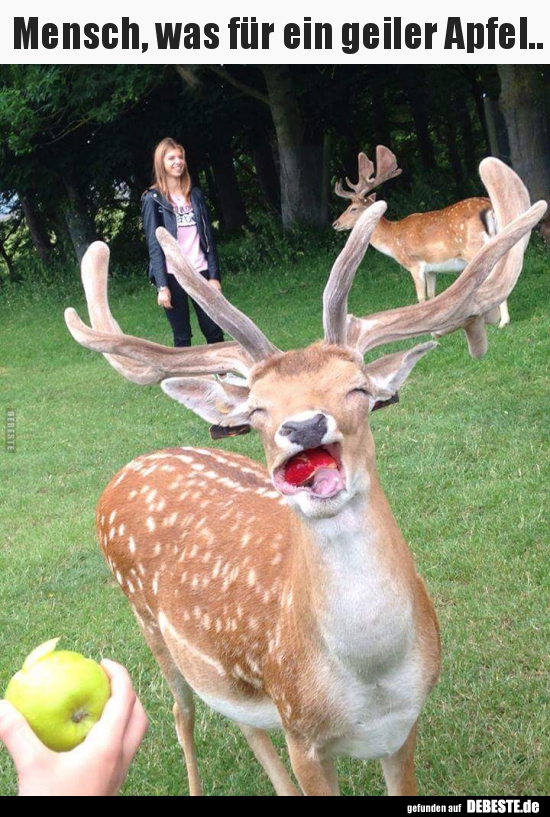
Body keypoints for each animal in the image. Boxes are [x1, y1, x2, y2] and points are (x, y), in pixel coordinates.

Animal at [332, 145, 512, 326]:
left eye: (353, 208)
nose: (335, 224)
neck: (392, 239)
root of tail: (490, 208)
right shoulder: (431, 268)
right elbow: (433, 296)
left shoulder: (414, 264)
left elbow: (421, 297)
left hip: (474, 248)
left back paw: (503, 321)